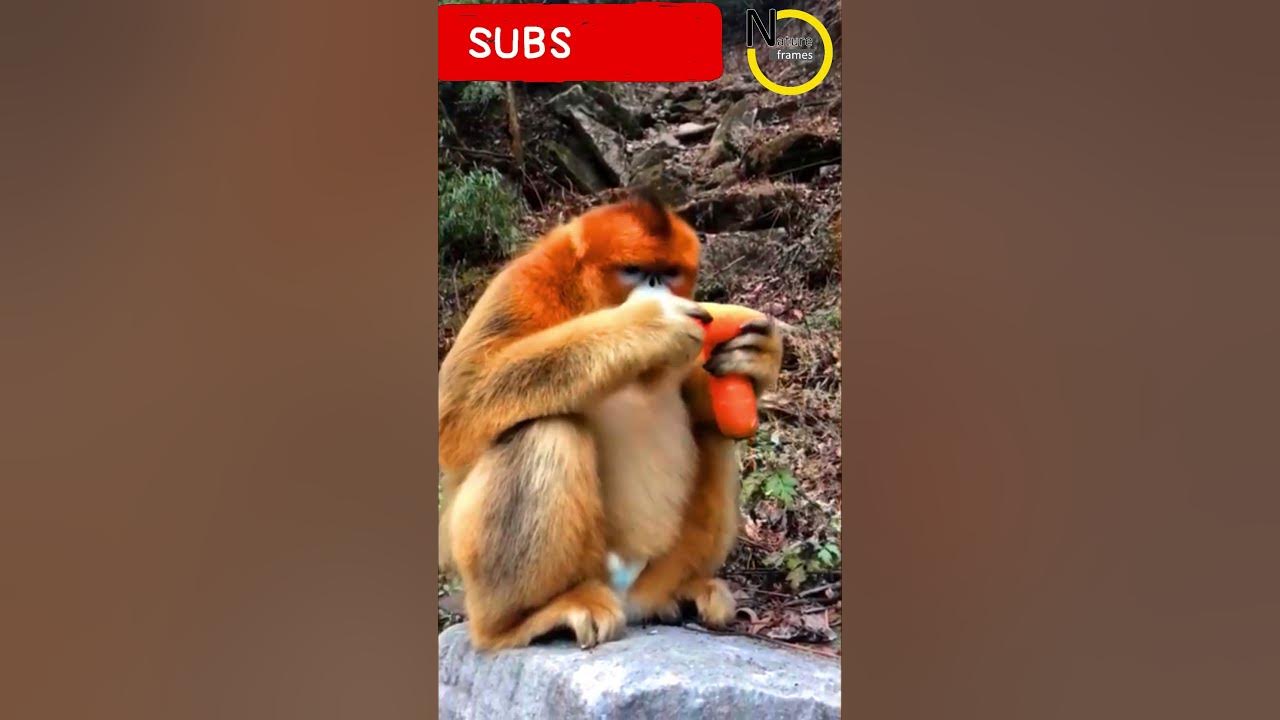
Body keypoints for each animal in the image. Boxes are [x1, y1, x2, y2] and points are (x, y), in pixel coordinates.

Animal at [438, 189, 783, 650]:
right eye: (634, 270)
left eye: (668, 272)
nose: (655, 287)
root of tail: (626, 592)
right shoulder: (523, 285)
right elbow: (456, 413)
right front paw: (649, 324)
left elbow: (709, 407)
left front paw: (757, 355)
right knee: (544, 429)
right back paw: (522, 620)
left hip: (661, 565)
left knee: (714, 437)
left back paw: (680, 592)